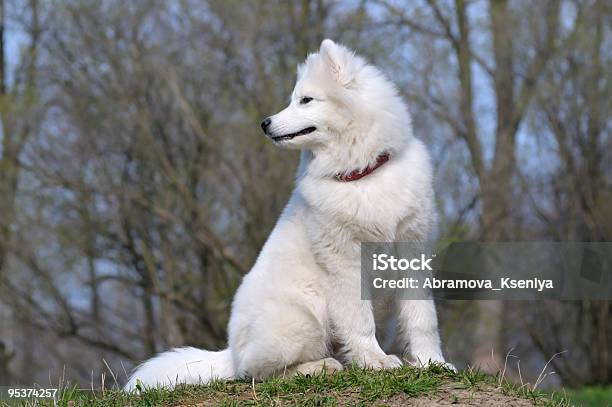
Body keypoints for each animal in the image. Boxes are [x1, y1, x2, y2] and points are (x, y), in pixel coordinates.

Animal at [125, 39, 450, 392]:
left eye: (306, 100)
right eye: (294, 99)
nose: (264, 123)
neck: (363, 176)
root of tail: (230, 353)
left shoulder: (412, 251)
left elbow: (423, 319)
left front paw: (433, 364)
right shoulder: (345, 263)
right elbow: (360, 320)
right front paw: (376, 362)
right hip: (303, 318)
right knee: (258, 372)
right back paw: (319, 367)